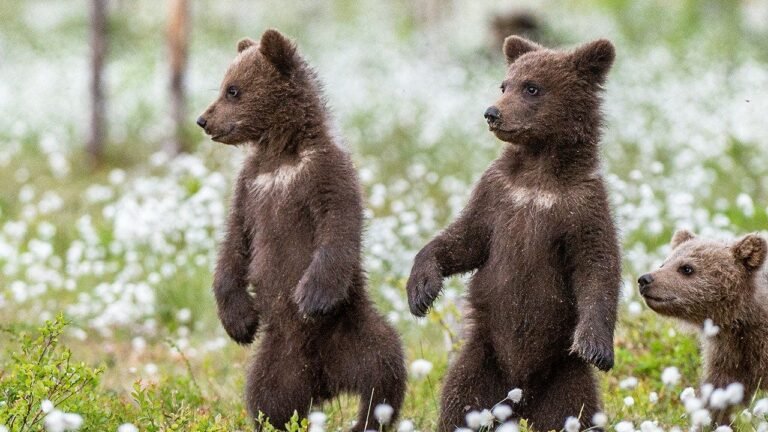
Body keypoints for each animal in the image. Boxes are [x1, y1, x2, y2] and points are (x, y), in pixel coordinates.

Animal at [196, 29, 406, 431]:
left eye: (233, 90)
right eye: (224, 85)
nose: (203, 119)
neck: (282, 154)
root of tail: (327, 382)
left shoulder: (324, 174)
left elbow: (338, 228)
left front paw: (311, 296)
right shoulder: (250, 188)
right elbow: (234, 244)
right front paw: (239, 321)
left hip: (356, 330)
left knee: (384, 371)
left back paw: (367, 418)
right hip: (278, 363)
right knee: (266, 399)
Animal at [405, 35, 621, 432]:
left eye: (531, 87)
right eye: (504, 84)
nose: (492, 113)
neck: (539, 173)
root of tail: (519, 397)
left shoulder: (581, 204)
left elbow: (597, 265)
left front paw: (595, 346)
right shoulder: (498, 194)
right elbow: (465, 239)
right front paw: (421, 289)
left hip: (564, 380)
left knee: (576, 412)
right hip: (480, 362)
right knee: (458, 403)